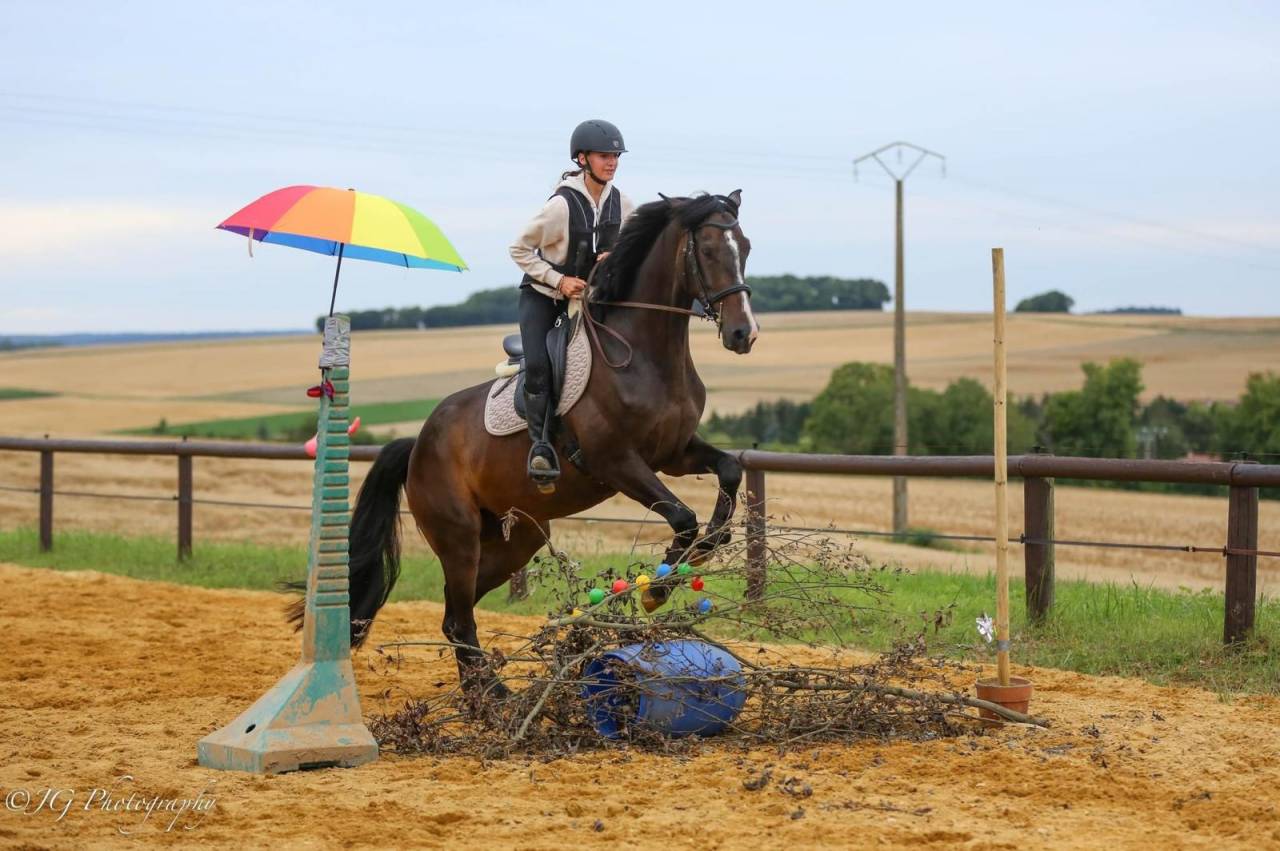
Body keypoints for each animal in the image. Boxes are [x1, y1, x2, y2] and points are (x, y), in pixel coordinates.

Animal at [293, 190, 759, 697]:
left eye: (745, 247)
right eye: (708, 250)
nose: (744, 334)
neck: (646, 356)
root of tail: (419, 444)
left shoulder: (673, 454)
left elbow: (729, 472)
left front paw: (713, 542)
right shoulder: (616, 461)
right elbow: (682, 518)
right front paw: (657, 589)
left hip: (513, 541)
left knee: (454, 612)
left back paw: (487, 693)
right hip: (459, 538)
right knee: (459, 616)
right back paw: (491, 698)